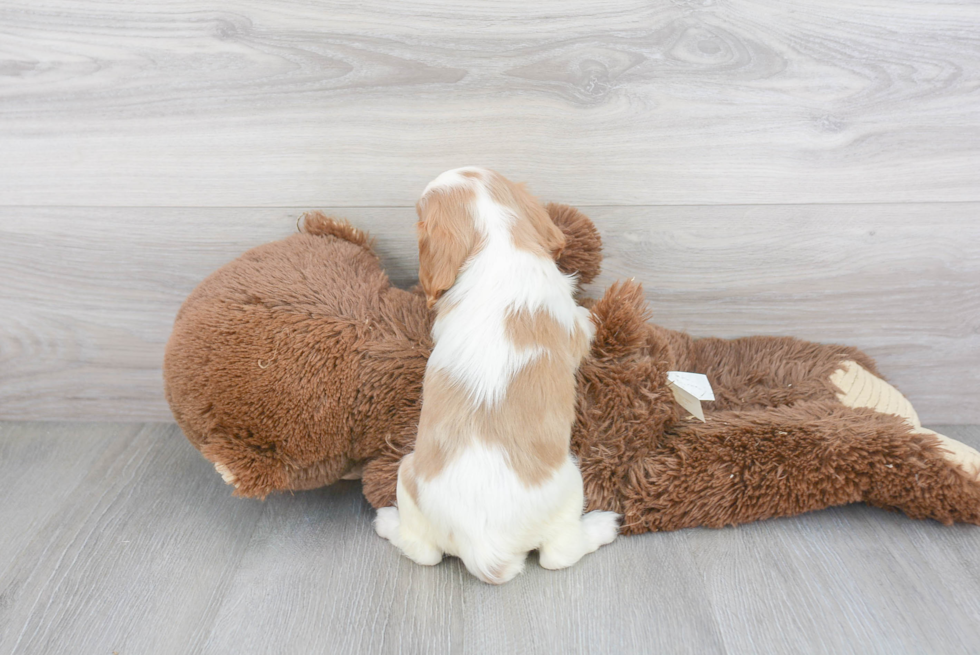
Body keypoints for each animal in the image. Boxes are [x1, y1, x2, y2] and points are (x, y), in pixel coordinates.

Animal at [376, 168, 620, 584]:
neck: (496, 245)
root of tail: (486, 551)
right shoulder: (573, 323)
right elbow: (585, 322)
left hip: (407, 475)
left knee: (423, 551)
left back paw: (386, 522)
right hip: (571, 484)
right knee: (560, 554)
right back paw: (603, 526)